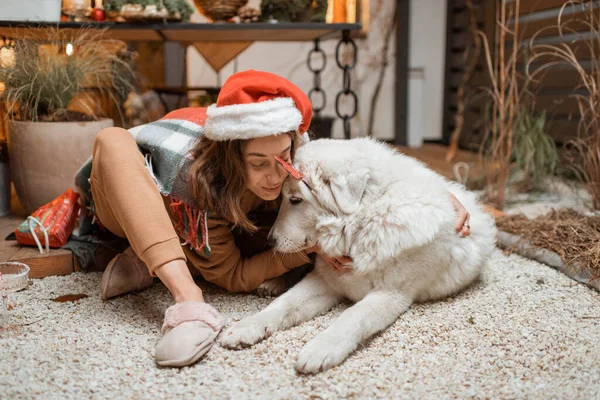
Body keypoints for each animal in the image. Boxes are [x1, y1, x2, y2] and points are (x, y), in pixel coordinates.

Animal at [220, 138, 496, 376]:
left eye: (296, 199)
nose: (270, 241)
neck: (363, 222)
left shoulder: (389, 295)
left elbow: (352, 317)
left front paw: (320, 349)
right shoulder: (325, 281)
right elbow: (284, 305)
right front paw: (246, 326)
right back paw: (271, 284)